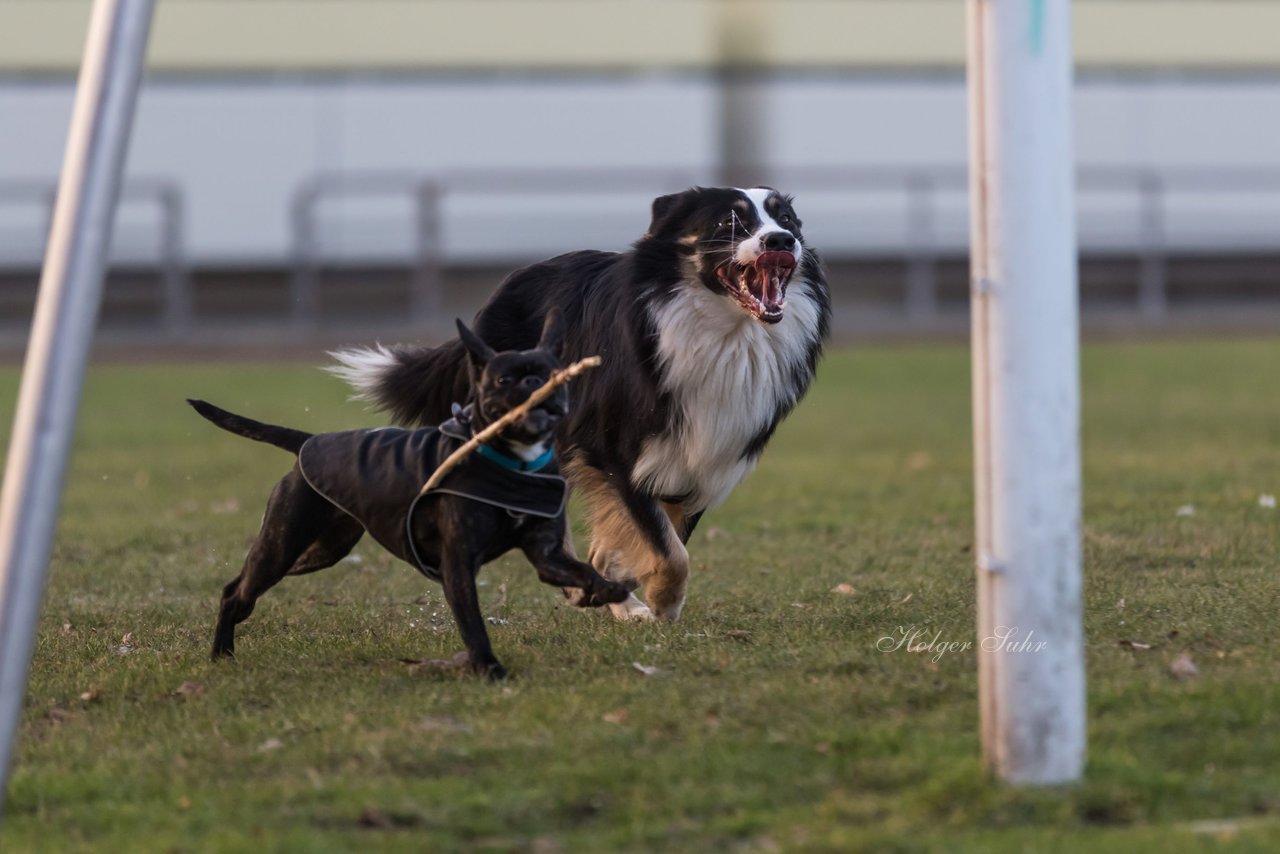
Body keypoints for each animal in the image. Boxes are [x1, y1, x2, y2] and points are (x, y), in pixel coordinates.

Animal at [190, 313, 629, 681]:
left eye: (554, 374)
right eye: (504, 380)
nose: (535, 384)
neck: (510, 459)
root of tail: (308, 441)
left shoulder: (546, 556)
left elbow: (582, 570)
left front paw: (607, 590)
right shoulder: (458, 566)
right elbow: (473, 625)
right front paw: (488, 669)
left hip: (322, 550)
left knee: (247, 583)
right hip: (282, 543)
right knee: (235, 590)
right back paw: (221, 654)